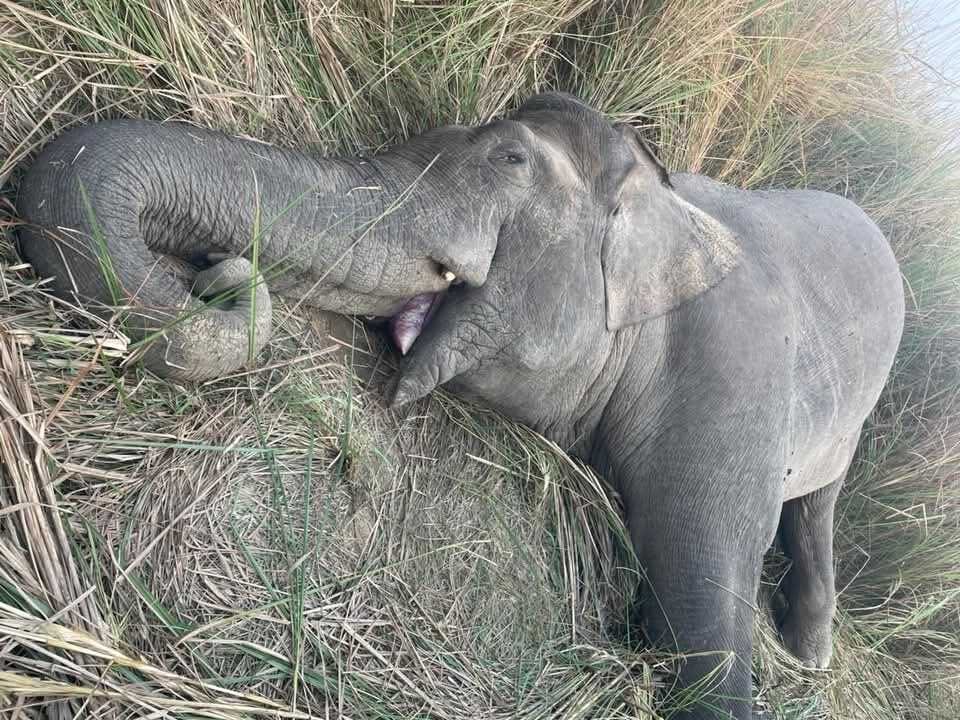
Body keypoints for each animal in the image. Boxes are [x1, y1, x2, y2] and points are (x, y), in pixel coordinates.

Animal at [380, 95, 900, 720]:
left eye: (511, 158)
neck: (663, 200)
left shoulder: (736, 371)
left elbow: (703, 580)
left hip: (855, 413)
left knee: (819, 500)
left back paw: (810, 655)